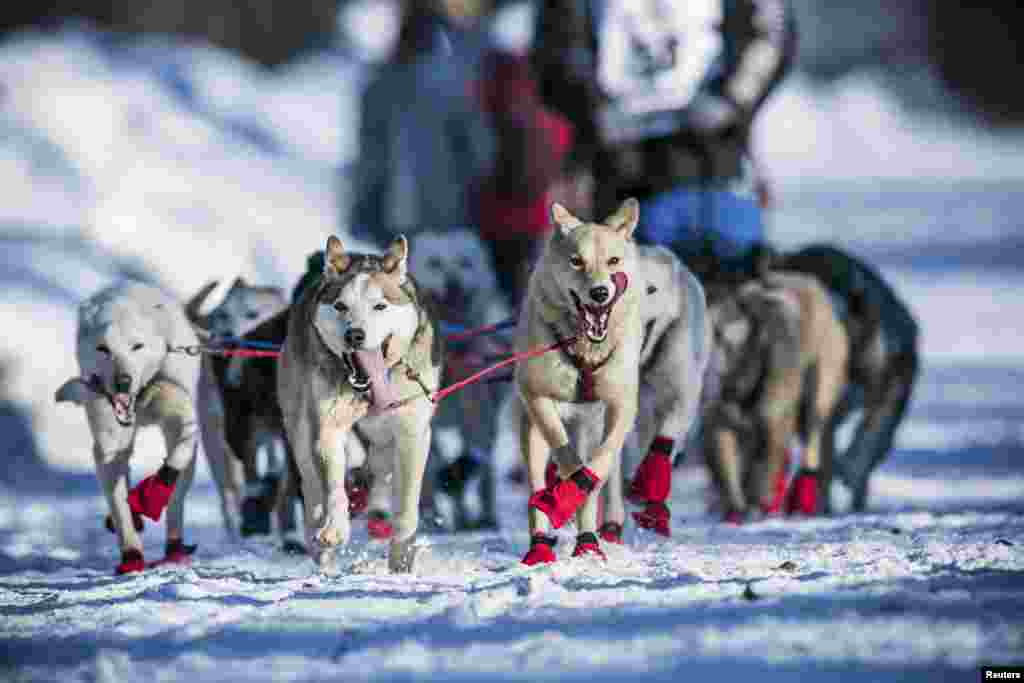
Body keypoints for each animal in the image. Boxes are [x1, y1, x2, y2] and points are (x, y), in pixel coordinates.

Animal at [278, 232, 442, 573]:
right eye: (341, 305)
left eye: (380, 305)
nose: (354, 334)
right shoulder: (327, 428)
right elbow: (333, 488)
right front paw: (334, 529)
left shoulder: (412, 434)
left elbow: (406, 510)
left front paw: (401, 562)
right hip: (299, 430)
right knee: (314, 486)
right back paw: (320, 544)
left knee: (380, 471)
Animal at [704, 270, 847, 520]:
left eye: (721, 335)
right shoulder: (719, 425)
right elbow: (726, 469)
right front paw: (736, 510)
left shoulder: (772, 418)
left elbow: (763, 467)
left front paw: (757, 505)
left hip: (817, 391)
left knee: (810, 443)